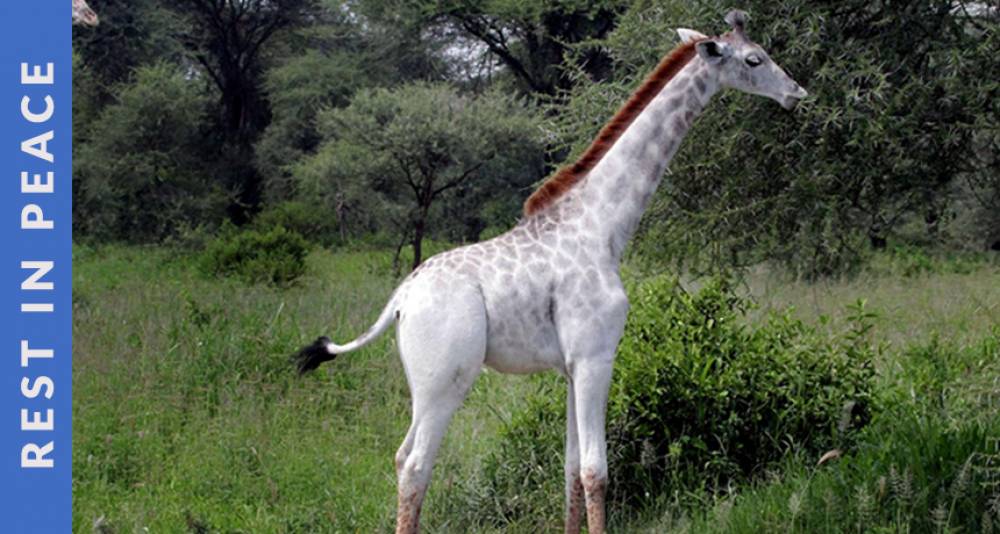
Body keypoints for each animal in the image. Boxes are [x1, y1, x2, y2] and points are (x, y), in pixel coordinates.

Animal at [294, 10, 807, 534]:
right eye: (755, 59)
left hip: (423, 383)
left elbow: (570, 470)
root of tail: (401, 299)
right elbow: (596, 470)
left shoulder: (570, 366)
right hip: (446, 379)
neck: (603, 226)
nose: (797, 93)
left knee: (401, 457)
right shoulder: (596, 355)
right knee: (418, 463)